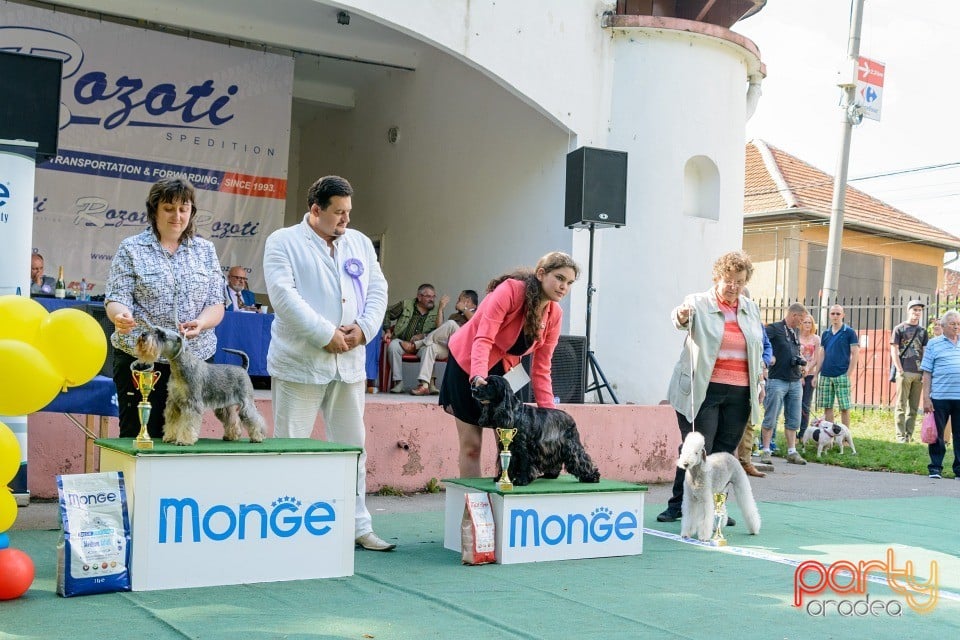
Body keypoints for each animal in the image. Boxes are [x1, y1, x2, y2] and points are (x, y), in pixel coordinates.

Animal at [134, 324, 266, 444]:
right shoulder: (173, 402)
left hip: (246, 403)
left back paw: (258, 437)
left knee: (254, 418)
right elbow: (172, 422)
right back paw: (231, 436)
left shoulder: (192, 403)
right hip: (225, 406)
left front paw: (184, 440)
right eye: (153, 329)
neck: (180, 367)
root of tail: (243, 368)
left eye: (162, 335)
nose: (143, 335)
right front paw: (170, 437)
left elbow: (188, 424)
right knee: (232, 420)